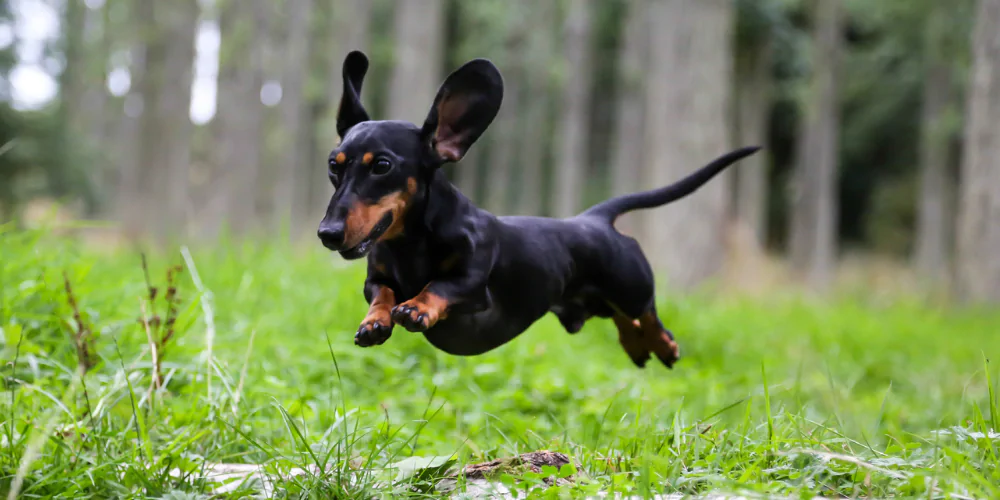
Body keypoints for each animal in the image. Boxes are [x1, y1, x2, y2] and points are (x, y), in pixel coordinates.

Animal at [318, 51, 756, 368]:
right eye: (333, 166)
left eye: (382, 166)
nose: (328, 234)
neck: (410, 244)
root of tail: (593, 219)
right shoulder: (375, 278)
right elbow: (382, 293)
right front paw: (375, 321)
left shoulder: (473, 285)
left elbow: (440, 286)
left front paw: (417, 307)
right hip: (600, 300)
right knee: (623, 318)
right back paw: (637, 346)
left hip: (630, 285)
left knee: (646, 311)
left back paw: (663, 345)